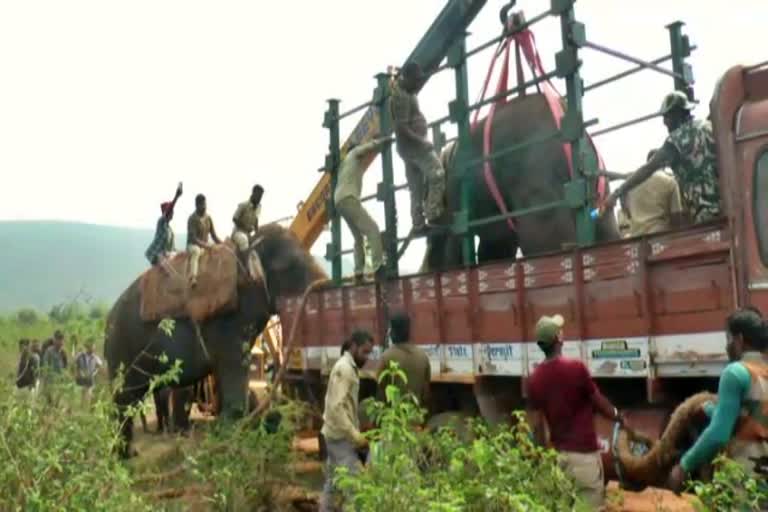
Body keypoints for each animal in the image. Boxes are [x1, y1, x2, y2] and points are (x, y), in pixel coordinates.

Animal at [105, 224, 328, 456]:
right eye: (287, 266)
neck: (250, 244)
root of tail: (108, 319)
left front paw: (227, 434)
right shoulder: (227, 321)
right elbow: (233, 367)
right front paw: (233, 441)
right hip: (122, 347)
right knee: (124, 398)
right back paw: (125, 455)